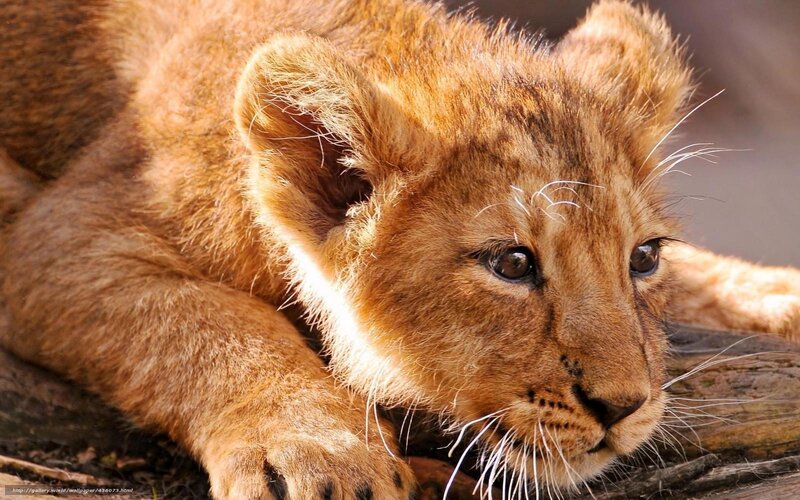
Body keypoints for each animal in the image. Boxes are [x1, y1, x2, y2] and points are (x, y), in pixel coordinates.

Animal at [1, 0, 799, 497]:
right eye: (512, 264)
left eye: (644, 258)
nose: (624, 407)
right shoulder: (60, 233)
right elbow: (206, 321)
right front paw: (320, 450)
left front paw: (778, 296)